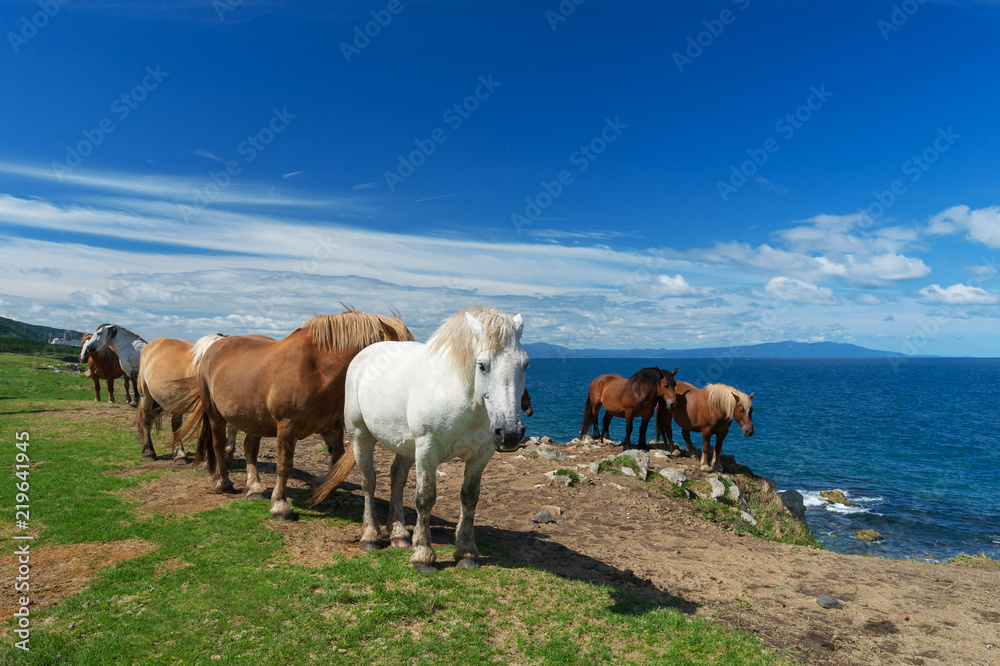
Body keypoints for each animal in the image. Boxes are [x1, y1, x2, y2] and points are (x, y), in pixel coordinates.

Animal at [137, 335, 270, 465]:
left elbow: (231, 429)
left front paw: (226, 456)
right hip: (145, 395)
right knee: (146, 420)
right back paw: (149, 453)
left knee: (176, 424)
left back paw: (179, 455)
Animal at [169, 310, 413, 522]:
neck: (317, 369)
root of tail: (215, 345)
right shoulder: (287, 427)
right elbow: (284, 465)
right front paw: (281, 506)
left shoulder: (332, 427)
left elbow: (335, 461)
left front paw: (326, 491)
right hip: (216, 415)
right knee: (219, 445)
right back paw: (223, 482)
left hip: (253, 418)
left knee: (250, 449)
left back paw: (255, 487)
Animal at [310, 306, 528, 573]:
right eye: (482, 365)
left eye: (525, 364)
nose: (510, 433)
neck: (458, 395)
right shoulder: (427, 451)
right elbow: (425, 498)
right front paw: (423, 555)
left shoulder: (480, 457)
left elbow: (470, 498)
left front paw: (466, 553)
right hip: (361, 436)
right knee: (368, 481)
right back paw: (371, 536)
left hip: (405, 445)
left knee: (396, 479)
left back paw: (399, 534)